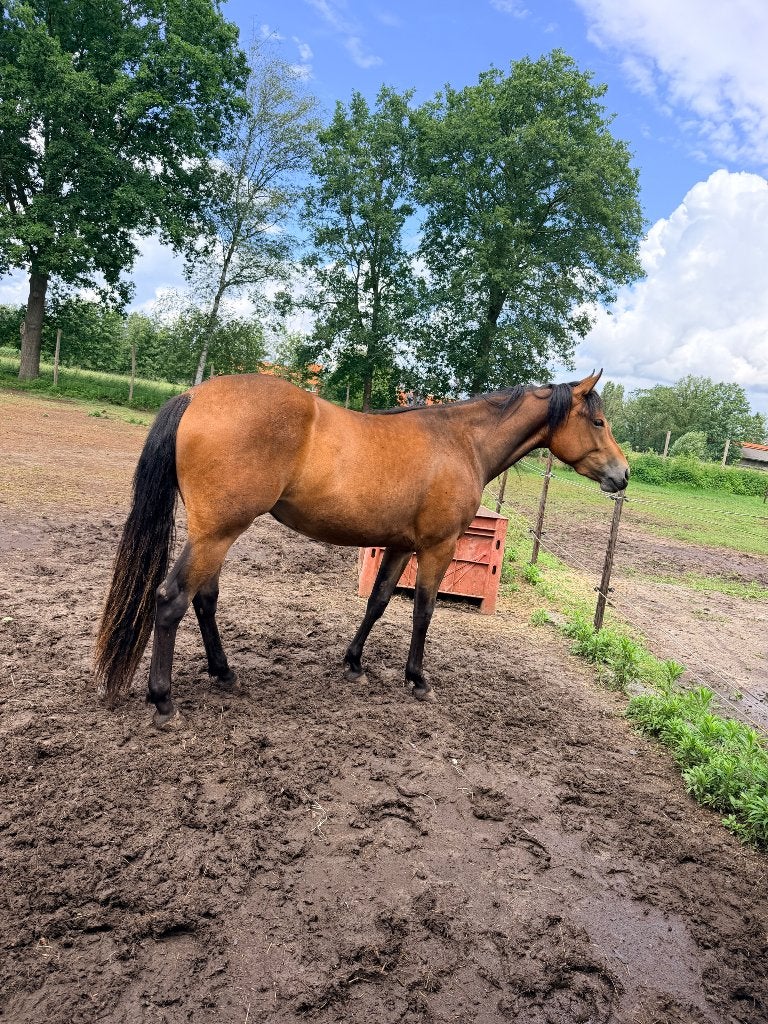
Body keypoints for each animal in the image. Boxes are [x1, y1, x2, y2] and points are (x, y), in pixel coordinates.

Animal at [95, 370, 628, 725]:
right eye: (599, 421)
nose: (623, 475)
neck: (460, 441)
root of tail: (195, 394)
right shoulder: (437, 548)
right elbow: (423, 611)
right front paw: (417, 679)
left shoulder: (400, 546)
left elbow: (378, 601)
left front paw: (353, 663)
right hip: (217, 534)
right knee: (172, 600)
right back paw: (163, 701)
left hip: (216, 536)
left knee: (204, 599)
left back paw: (224, 674)